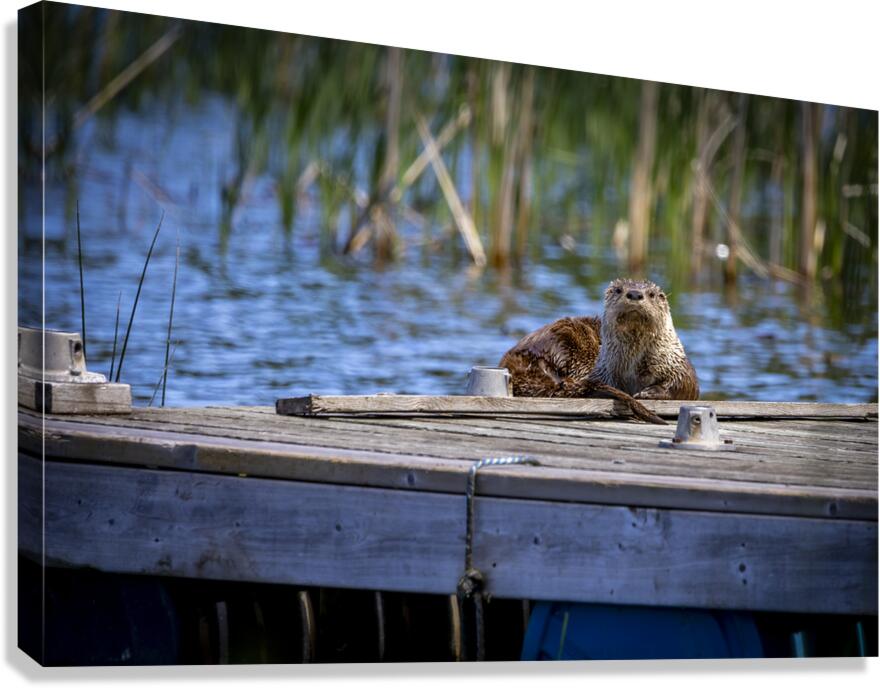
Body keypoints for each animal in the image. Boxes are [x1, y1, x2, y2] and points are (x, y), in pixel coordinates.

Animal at [499, 278, 699, 423]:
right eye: (619, 290)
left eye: (651, 294)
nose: (634, 294)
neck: (634, 370)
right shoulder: (603, 371)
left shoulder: (676, 365)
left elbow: (683, 386)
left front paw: (649, 393)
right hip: (566, 338)